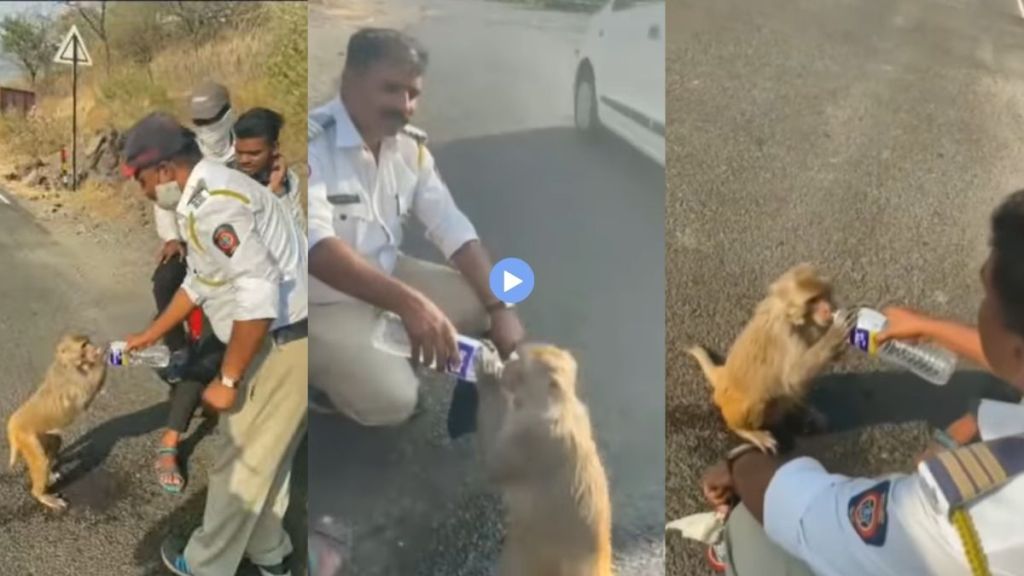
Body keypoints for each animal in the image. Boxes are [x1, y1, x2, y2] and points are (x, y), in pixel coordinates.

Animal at [6, 330, 106, 508]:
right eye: (84, 345)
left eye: (88, 342)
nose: (93, 348)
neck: (67, 363)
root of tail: (12, 423)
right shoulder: (72, 378)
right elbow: (87, 392)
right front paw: (103, 356)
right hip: (25, 437)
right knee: (39, 462)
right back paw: (42, 495)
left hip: (41, 433)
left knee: (55, 442)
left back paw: (49, 473)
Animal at [475, 340, 610, 573]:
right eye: (514, 358)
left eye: (519, 365)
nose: (506, 369)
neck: (558, 405)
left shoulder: (529, 439)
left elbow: (494, 468)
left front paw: (487, 374)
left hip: (531, 555)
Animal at [692, 261, 851, 453]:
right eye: (813, 300)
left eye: (823, 295)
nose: (828, 309)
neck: (794, 318)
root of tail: (722, 377)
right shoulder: (784, 333)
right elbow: (792, 377)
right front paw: (835, 334)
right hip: (732, 405)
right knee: (759, 400)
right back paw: (747, 431)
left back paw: (802, 412)